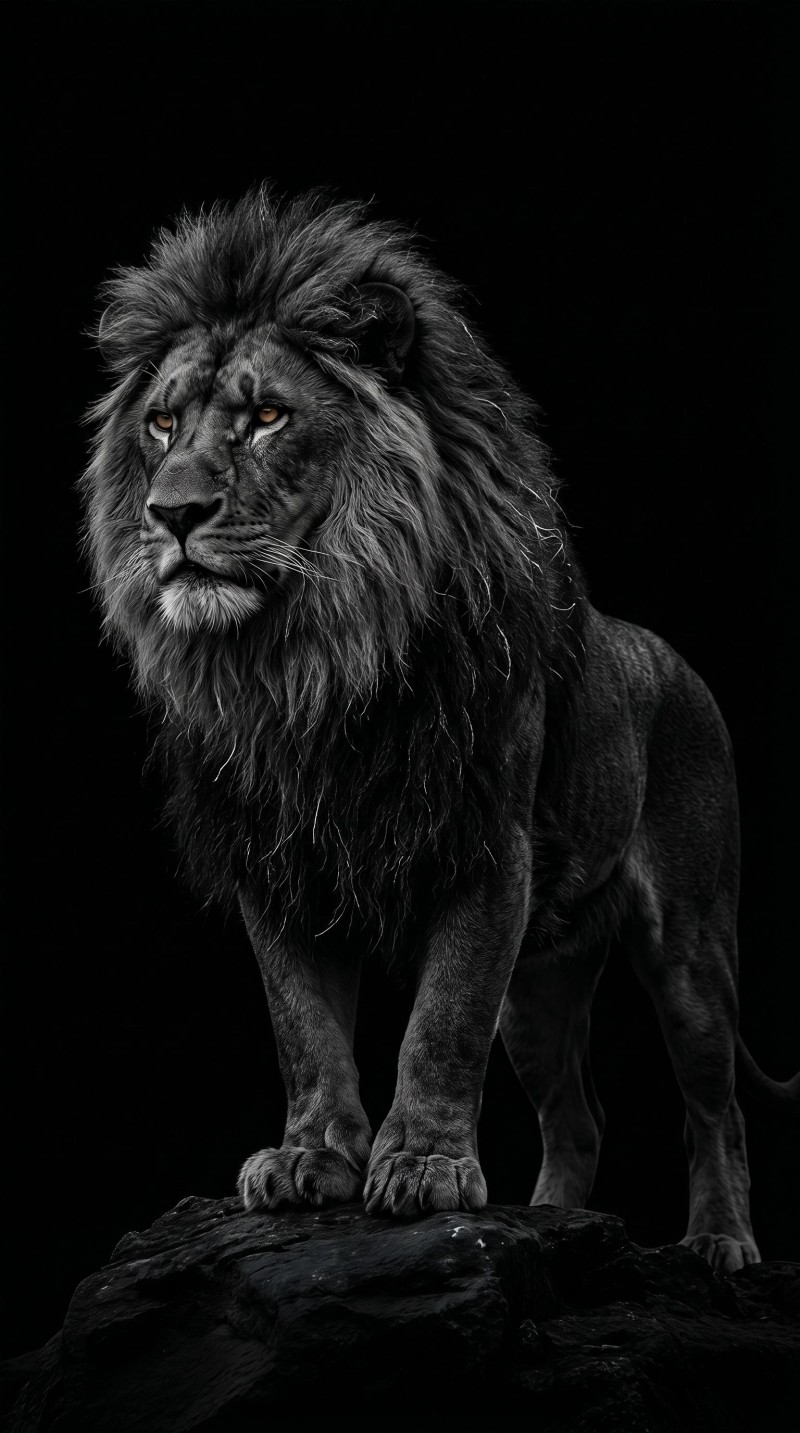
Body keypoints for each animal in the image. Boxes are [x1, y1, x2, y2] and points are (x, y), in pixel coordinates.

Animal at [81, 185, 798, 1275]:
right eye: (161, 424)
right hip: (541, 988)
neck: (310, 663)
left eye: (266, 417)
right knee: (579, 1114)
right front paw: (309, 1157)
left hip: (690, 952)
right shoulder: (274, 864)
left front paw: (421, 1166)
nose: (171, 513)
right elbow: (304, 1027)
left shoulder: (484, 850)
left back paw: (718, 1241)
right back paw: (547, 1229)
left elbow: (440, 1022)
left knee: (714, 1108)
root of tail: (666, 653)